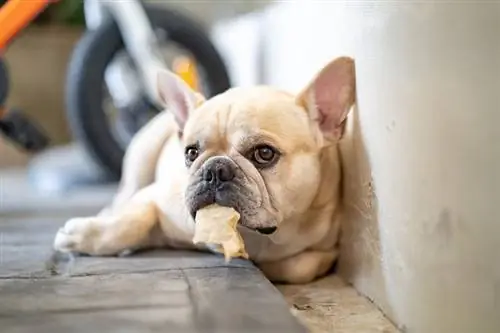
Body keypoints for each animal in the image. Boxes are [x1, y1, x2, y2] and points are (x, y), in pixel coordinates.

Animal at [53, 56, 356, 282]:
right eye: (191, 153)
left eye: (264, 154)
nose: (215, 169)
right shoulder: (156, 196)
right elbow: (134, 220)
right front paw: (81, 235)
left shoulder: (325, 248)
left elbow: (298, 267)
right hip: (141, 159)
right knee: (124, 195)